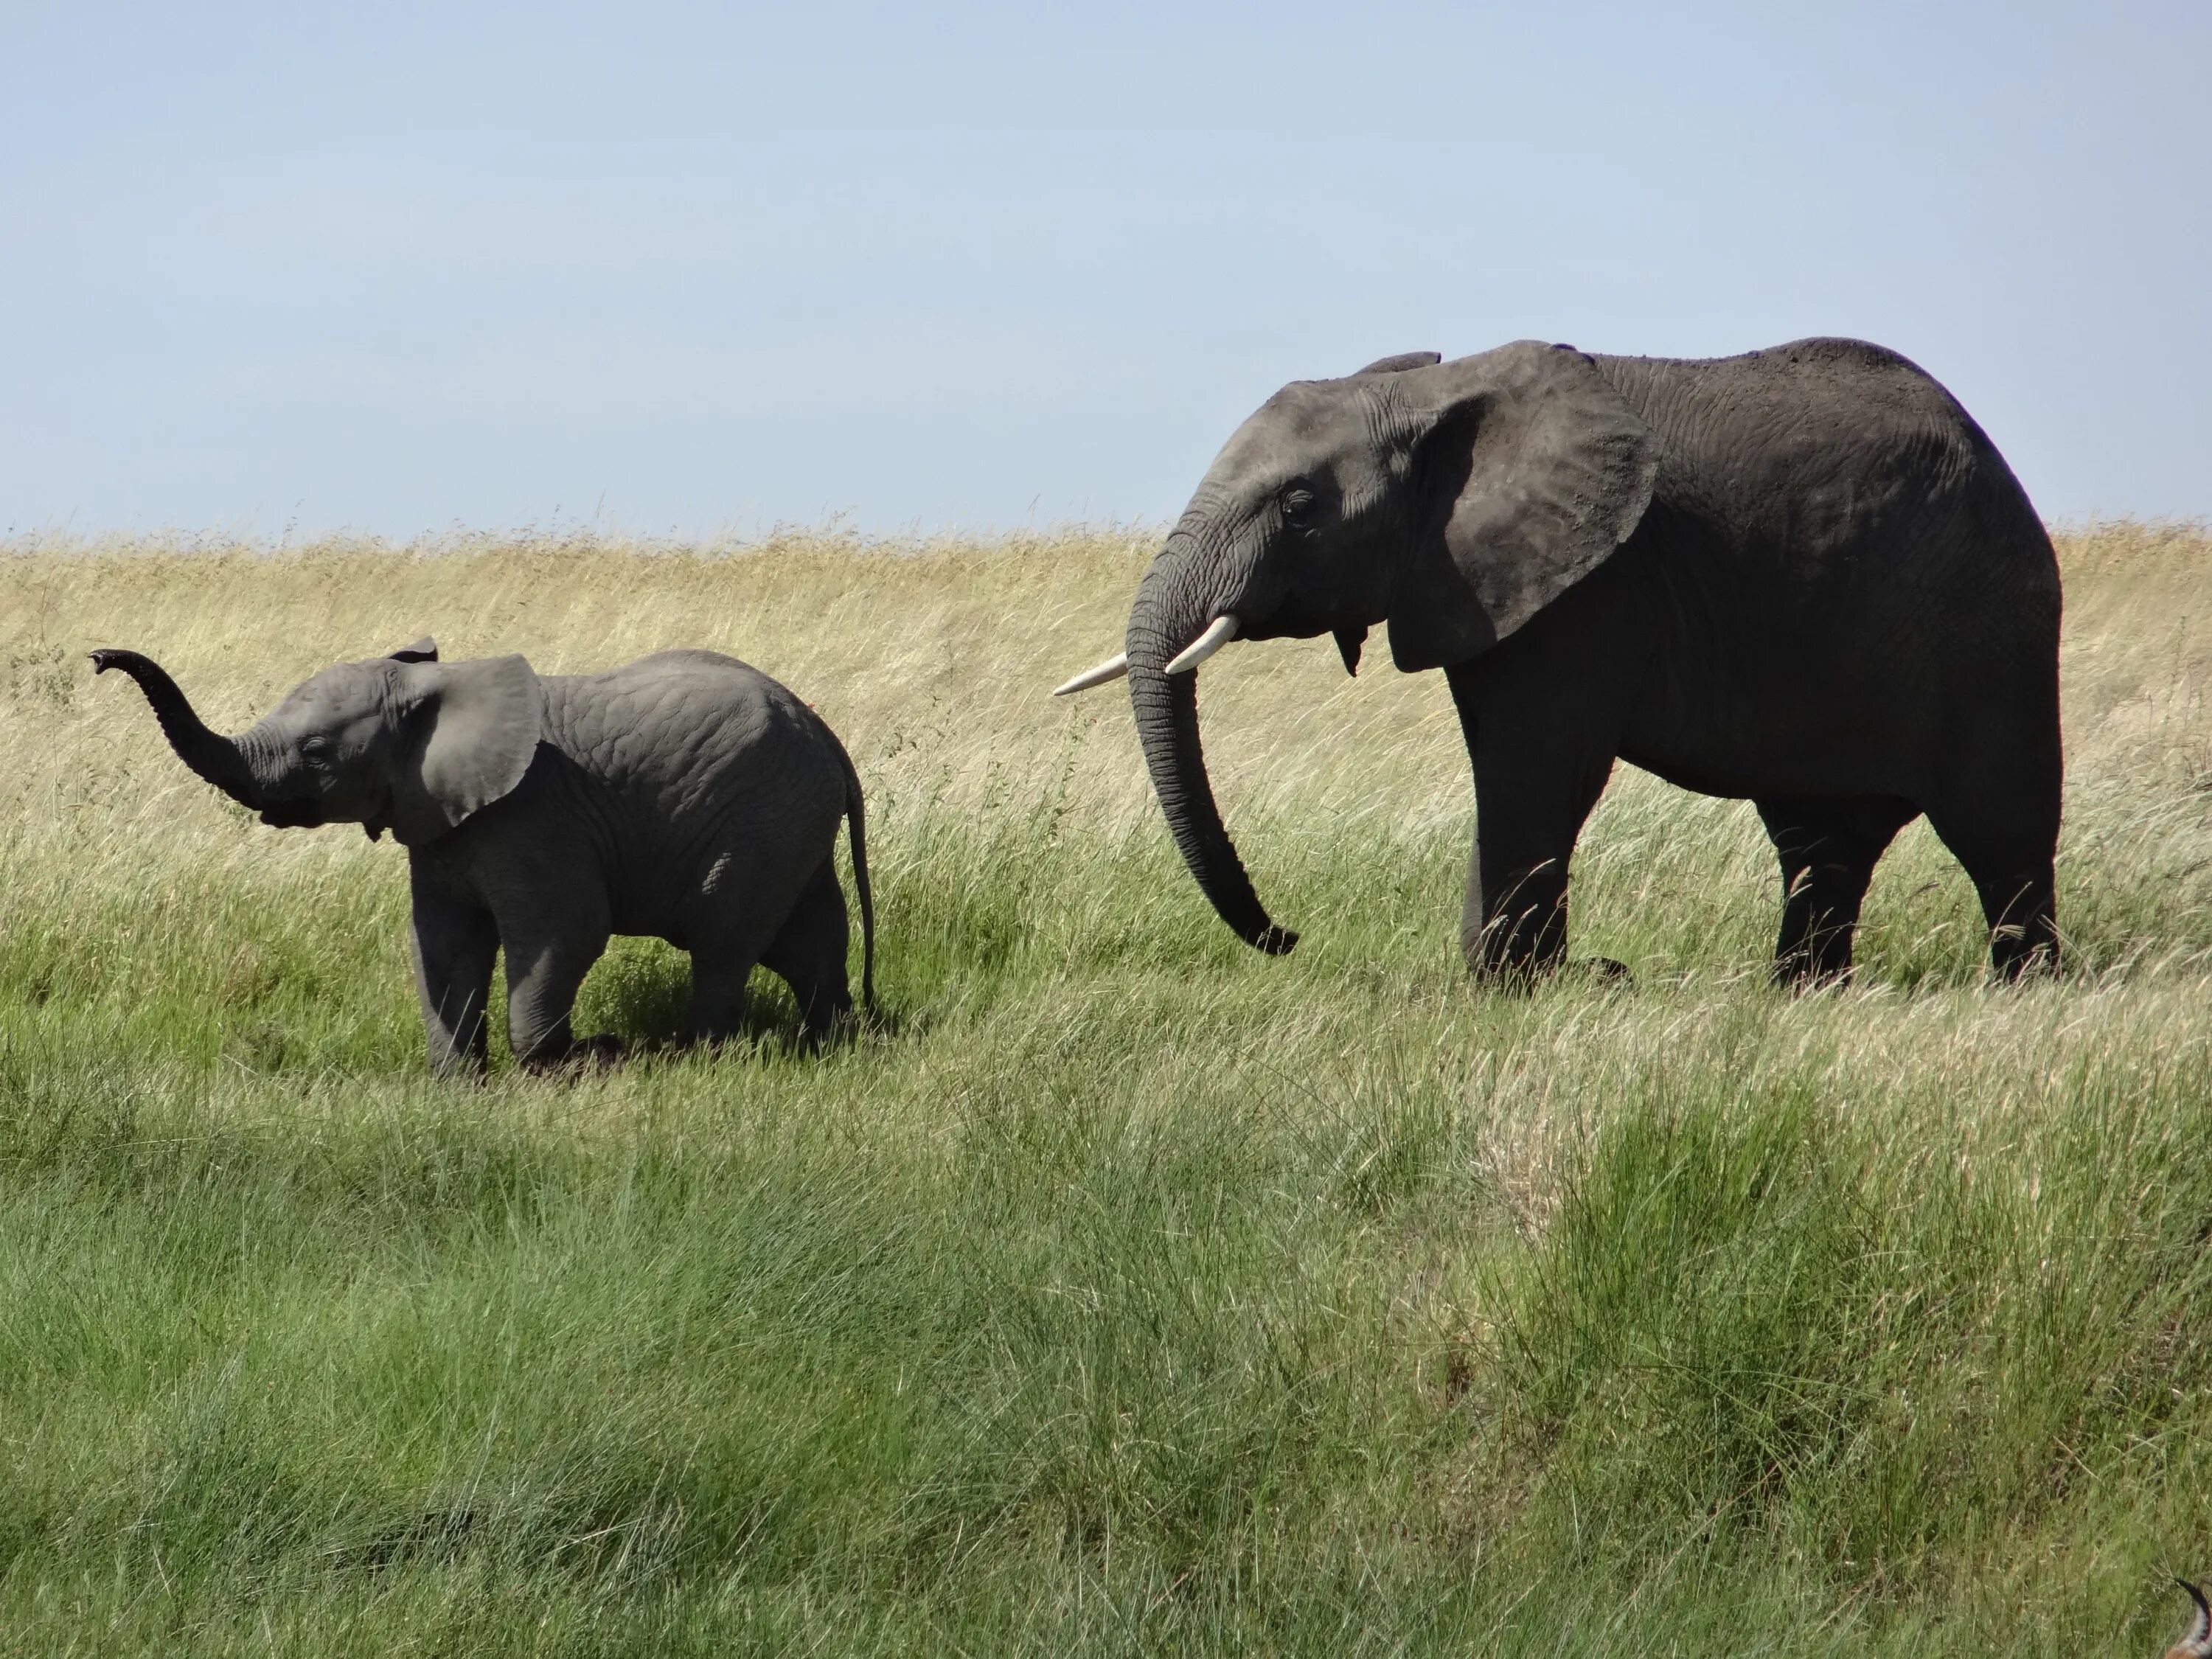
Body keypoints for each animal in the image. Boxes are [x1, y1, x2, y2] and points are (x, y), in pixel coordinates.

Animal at [97, 637, 872, 1079]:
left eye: (316, 752)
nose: (99, 659)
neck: (435, 694)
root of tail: (827, 735)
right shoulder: (438, 822)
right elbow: (441, 941)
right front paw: (455, 1085)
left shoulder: (535, 816)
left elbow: (566, 931)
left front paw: (582, 1064)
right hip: (791, 821)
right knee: (807, 940)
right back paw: (836, 1045)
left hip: (762, 819)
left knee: (723, 941)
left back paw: (696, 1059)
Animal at [1053, 341, 2053, 987]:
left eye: (1299, 507)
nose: (1291, 936)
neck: (1437, 393)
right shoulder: (1478, 577)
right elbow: (1513, 762)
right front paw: (1544, 977)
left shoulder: (1593, 584)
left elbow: (1533, 764)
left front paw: (1518, 984)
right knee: (1820, 843)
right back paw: (1801, 992)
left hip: (1993, 624)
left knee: (2000, 831)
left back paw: (2026, 990)